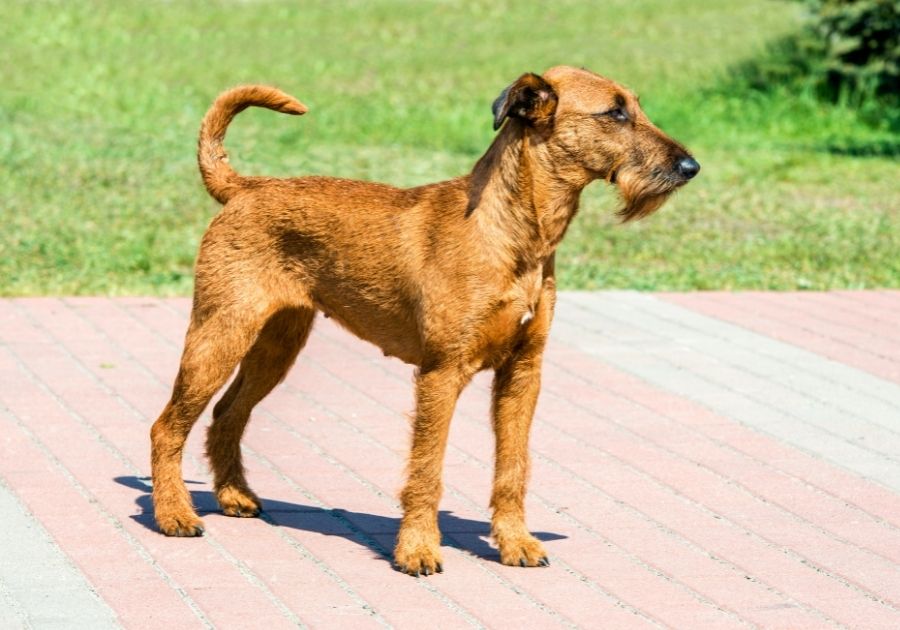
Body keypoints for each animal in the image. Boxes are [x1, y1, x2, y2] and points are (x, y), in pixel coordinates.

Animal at [149, 65, 696, 576]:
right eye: (615, 113)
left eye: (636, 106)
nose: (691, 166)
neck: (509, 233)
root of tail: (245, 189)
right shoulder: (441, 373)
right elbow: (427, 469)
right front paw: (417, 550)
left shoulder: (523, 373)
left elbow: (513, 467)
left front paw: (516, 543)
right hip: (219, 335)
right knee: (167, 427)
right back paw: (174, 514)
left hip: (275, 346)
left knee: (227, 414)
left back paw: (234, 496)